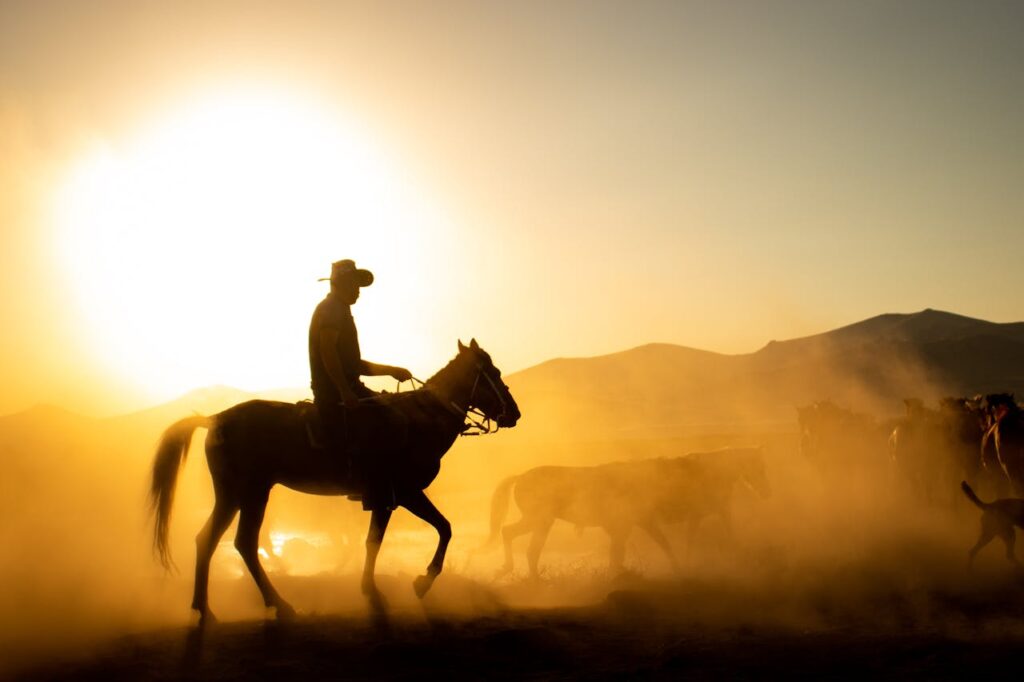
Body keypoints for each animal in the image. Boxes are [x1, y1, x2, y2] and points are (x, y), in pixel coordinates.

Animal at [149, 339, 519, 623]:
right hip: (250, 493)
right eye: (493, 374)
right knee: (242, 543)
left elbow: (411, 534)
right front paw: (412, 584)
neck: (420, 420)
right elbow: (422, 532)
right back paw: (278, 603)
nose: (514, 414)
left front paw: (391, 587)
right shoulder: (400, 493)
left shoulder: (394, 497)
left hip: (235, 494)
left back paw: (206, 607)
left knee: (211, 540)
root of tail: (214, 419)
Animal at [483, 447, 770, 578]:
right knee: (521, 543)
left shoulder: (640, 522)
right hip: (540, 520)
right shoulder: (637, 523)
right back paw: (526, 576)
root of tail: (520, 476)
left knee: (515, 539)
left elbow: (653, 546)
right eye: (759, 467)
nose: (766, 492)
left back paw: (516, 572)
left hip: (540, 521)